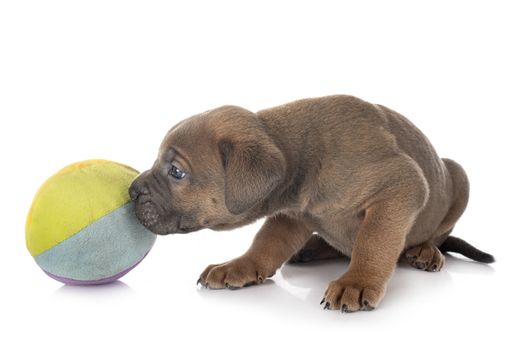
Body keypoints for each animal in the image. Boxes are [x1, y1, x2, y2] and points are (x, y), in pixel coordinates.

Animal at [128, 95, 494, 312]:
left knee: (437, 235)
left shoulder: (401, 186)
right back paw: (314, 248)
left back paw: (425, 252)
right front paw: (239, 266)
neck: (302, 157)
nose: (132, 191)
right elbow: (265, 243)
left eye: (176, 171)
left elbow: (373, 241)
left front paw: (357, 281)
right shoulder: (292, 215)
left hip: (458, 177)